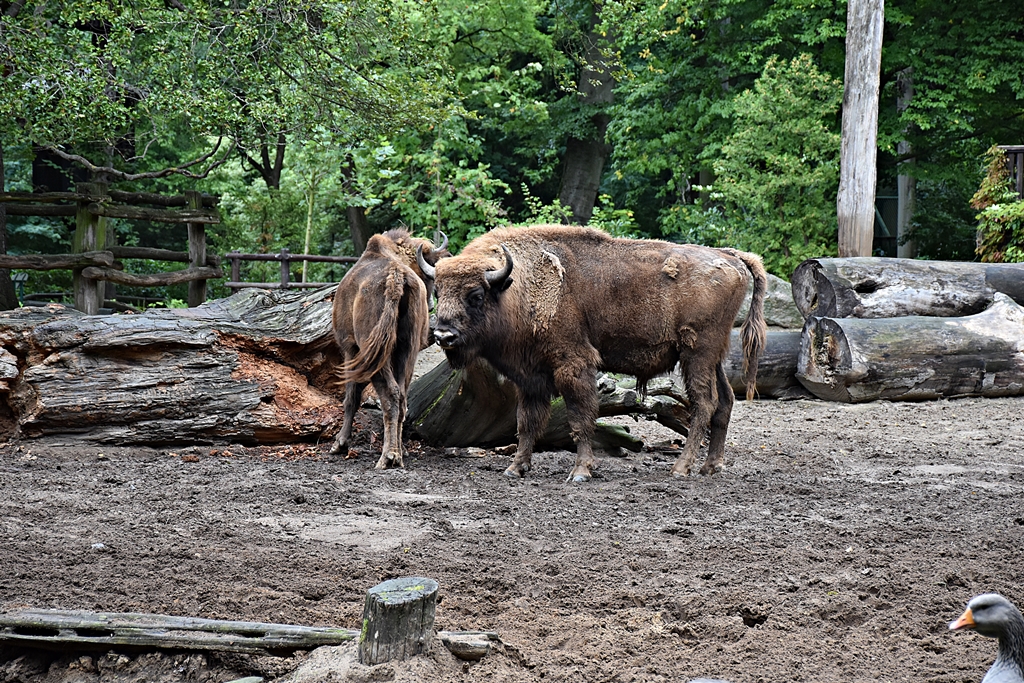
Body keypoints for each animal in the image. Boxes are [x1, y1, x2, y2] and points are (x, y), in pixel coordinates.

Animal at [331, 228, 447, 469]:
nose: (431, 304)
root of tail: (396, 275)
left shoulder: (350, 349)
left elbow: (351, 397)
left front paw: (340, 443)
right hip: (406, 350)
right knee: (401, 397)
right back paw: (397, 453)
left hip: (374, 355)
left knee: (390, 395)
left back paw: (388, 457)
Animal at [417, 225, 766, 482]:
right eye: (438, 291)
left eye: (476, 295)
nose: (444, 335)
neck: (518, 286)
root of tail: (728, 256)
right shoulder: (529, 377)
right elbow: (526, 422)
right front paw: (515, 468)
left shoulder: (574, 365)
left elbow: (580, 417)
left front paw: (581, 471)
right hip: (714, 356)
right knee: (725, 401)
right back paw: (712, 466)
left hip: (697, 353)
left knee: (704, 403)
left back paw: (682, 468)